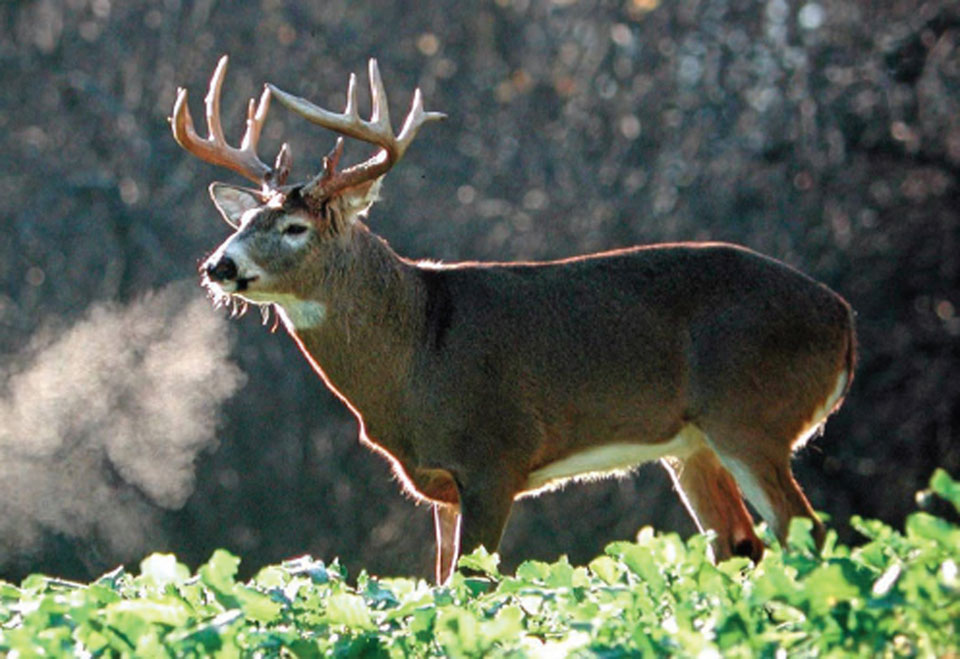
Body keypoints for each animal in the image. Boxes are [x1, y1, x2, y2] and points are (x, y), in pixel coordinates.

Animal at [171, 56, 856, 584]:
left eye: (295, 227)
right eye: (242, 221)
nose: (217, 265)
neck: (418, 350)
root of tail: (845, 321)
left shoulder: (495, 458)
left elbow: (473, 587)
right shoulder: (441, 484)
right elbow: (438, 585)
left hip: (752, 415)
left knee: (808, 534)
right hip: (692, 445)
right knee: (741, 544)